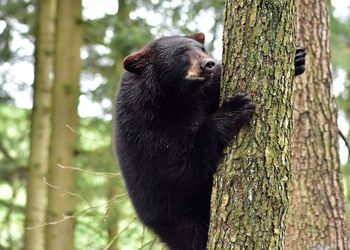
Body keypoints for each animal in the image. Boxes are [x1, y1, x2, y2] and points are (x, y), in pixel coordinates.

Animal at [113, 33, 304, 250]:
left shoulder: (205, 93)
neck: (178, 96)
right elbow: (182, 168)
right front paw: (235, 107)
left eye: (201, 49)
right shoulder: (148, 128)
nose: (208, 63)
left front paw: (298, 57)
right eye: (181, 53)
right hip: (178, 219)